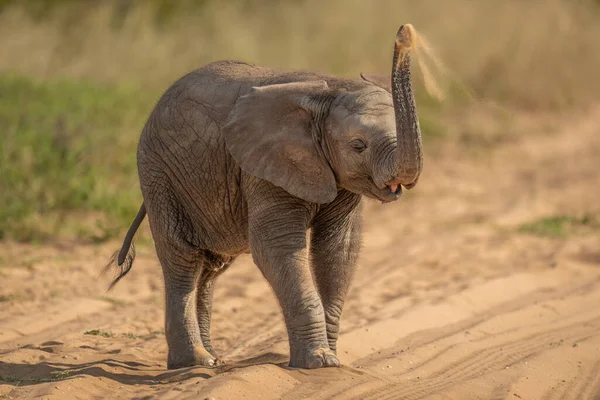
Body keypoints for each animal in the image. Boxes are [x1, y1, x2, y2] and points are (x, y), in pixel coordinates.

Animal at [105, 24, 422, 368]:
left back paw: (213, 359)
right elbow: (277, 247)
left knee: (210, 267)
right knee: (183, 260)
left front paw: (331, 359)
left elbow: (338, 249)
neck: (330, 90)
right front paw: (319, 362)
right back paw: (195, 362)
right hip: (159, 173)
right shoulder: (261, 168)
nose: (405, 33)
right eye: (358, 146)